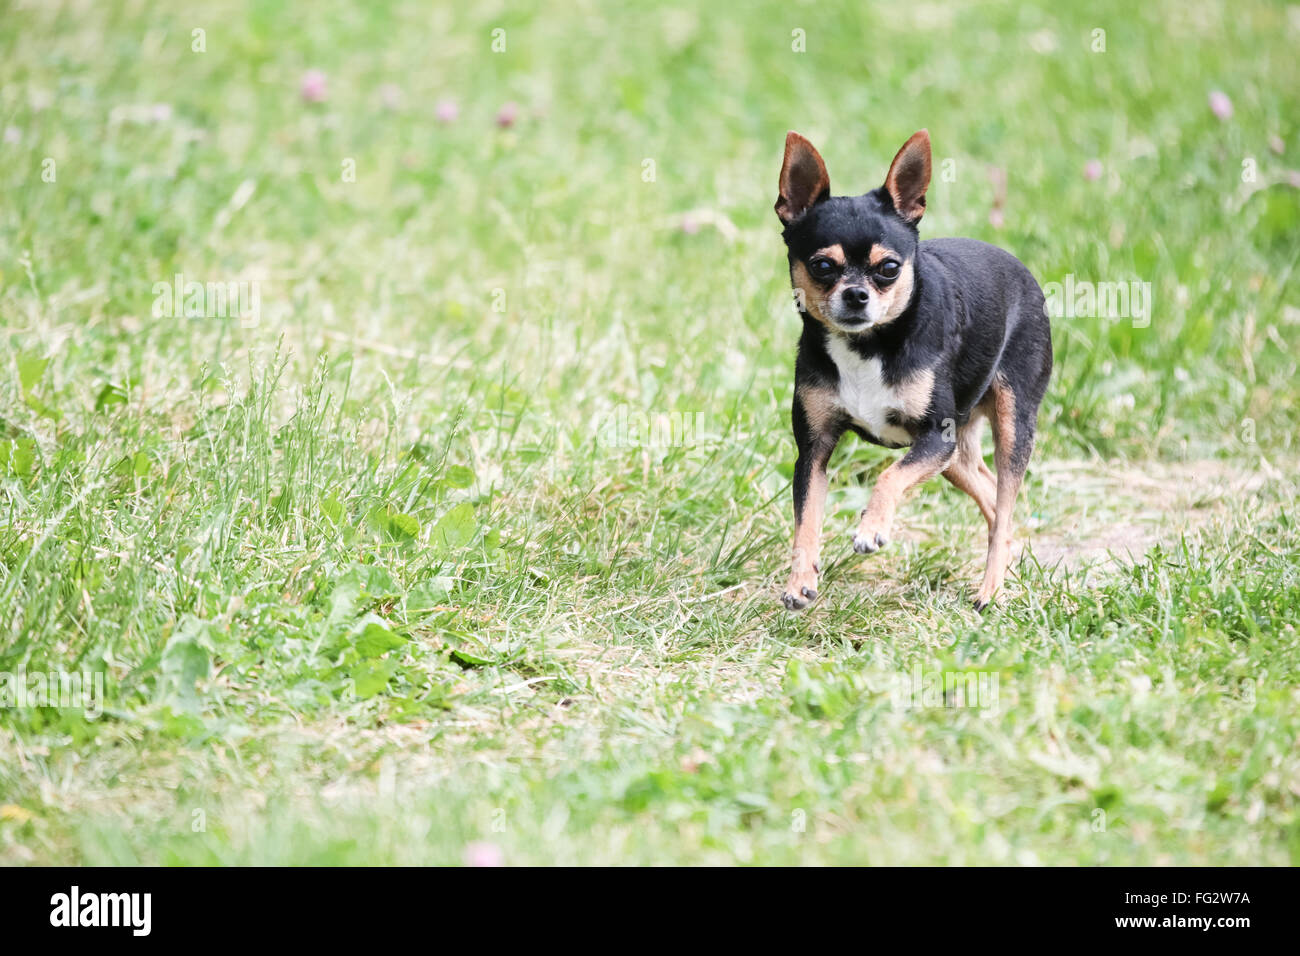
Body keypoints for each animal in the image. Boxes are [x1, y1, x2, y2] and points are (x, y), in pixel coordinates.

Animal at [774, 128, 1050, 613]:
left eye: (888, 268)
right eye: (822, 266)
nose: (856, 295)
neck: (868, 346)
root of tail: (1022, 270)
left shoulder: (933, 438)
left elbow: (889, 476)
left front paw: (871, 527)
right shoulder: (814, 451)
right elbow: (806, 518)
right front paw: (800, 579)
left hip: (1009, 424)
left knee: (1004, 501)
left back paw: (992, 589)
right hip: (955, 451)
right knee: (994, 500)